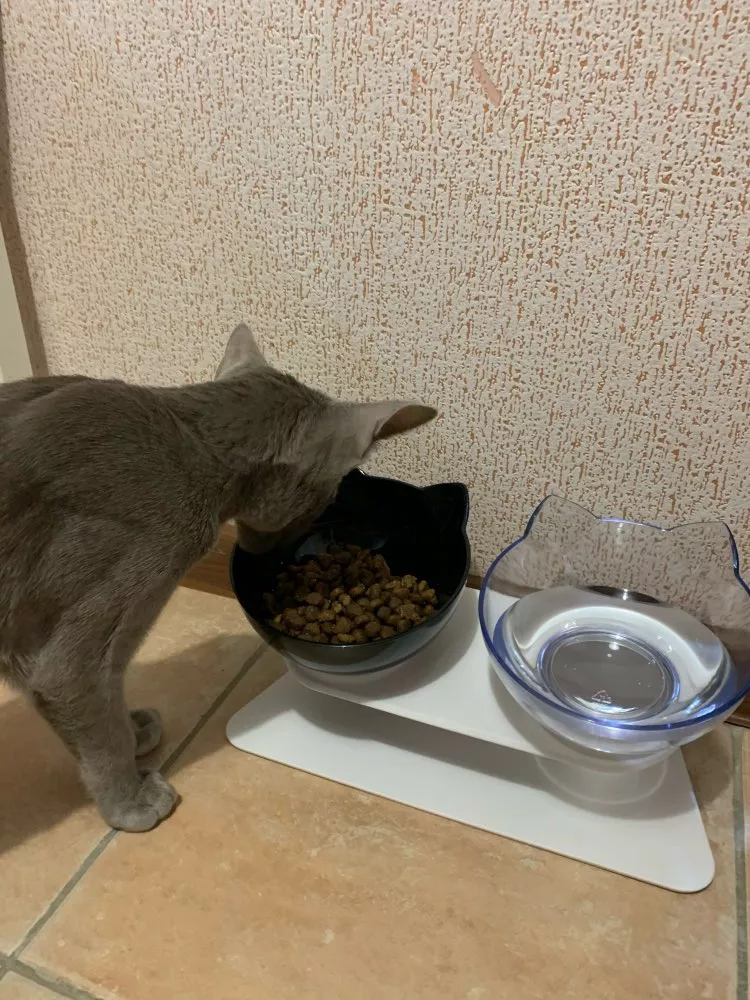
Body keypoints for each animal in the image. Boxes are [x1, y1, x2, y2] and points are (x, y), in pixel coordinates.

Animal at [0, 324, 436, 832]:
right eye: (329, 500)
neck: (193, 444)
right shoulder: (71, 659)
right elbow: (102, 737)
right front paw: (131, 803)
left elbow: (110, 712)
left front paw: (133, 728)